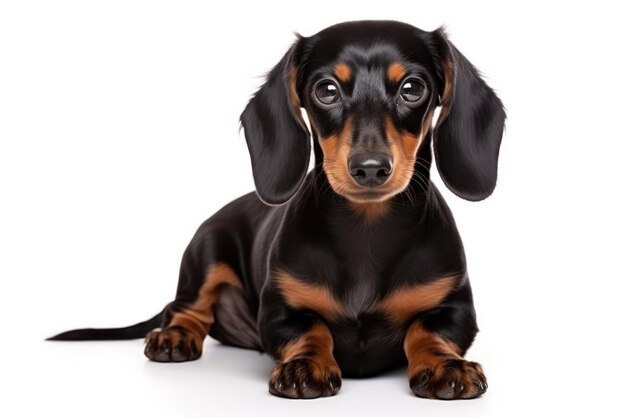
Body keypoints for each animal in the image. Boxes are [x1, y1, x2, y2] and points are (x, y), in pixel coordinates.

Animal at [50, 20, 508, 400]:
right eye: (327, 90)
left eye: (413, 88)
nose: (370, 168)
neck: (367, 231)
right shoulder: (280, 310)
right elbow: (311, 328)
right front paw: (305, 365)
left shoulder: (454, 307)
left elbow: (426, 329)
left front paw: (446, 365)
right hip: (206, 254)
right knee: (184, 308)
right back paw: (175, 336)